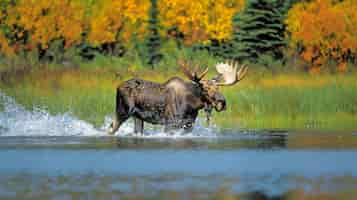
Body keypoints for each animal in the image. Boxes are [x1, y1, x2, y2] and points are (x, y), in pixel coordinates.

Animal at [108, 61, 248, 135]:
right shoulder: (170, 123)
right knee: (112, 127)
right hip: (123, 111)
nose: (222, 102)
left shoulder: (189, 124)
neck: (192, 105)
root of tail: (117, 87)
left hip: (138, 117)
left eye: (219, 88)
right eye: (205, 89)